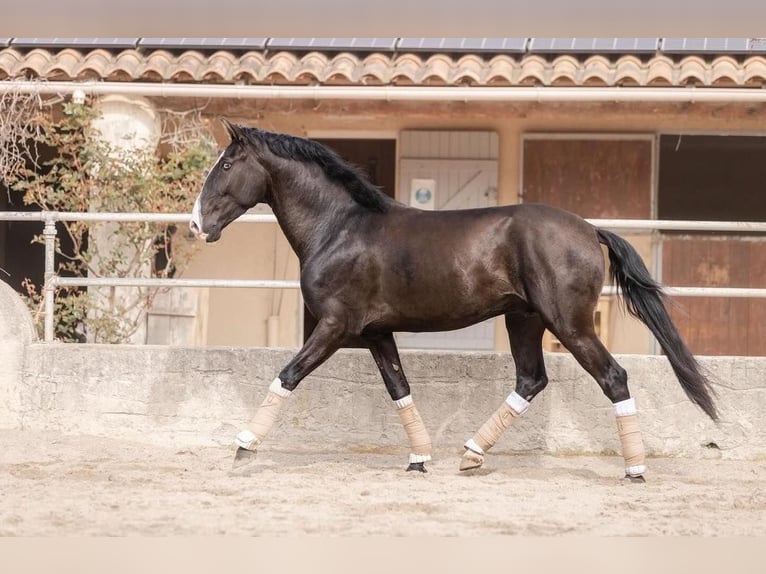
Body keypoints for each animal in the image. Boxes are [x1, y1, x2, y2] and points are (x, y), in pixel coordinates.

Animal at [192, 119, 720, 480]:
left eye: (226, 164)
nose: (197, 225)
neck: (340, 228)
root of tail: (591, 230)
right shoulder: (376, 333)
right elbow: (399, 388)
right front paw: (419, 459)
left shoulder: (334, 327)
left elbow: (288, 374)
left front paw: (243, 447)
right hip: (524, 321)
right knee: (531, 380)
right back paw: (470, 454)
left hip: (569, 325)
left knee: (613, 377)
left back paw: (634, 470)